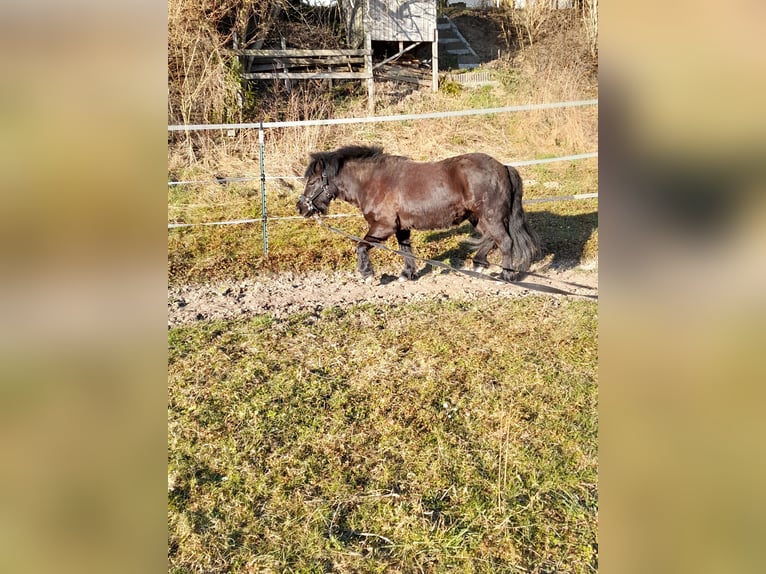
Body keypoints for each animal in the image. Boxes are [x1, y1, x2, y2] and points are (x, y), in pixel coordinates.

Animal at [296, 146, 544, 284]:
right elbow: (406, 250)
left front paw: (367, 274)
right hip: (478, 218)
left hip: (492, 217)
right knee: (491, 239)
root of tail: (504, 167)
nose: (301, 207)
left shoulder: (383, 227)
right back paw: (478, 264)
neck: (374, 182)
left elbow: (361, 246)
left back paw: (505, 276)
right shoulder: (401, 228)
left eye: (312, 181)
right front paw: (407, 274)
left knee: (505, 242)